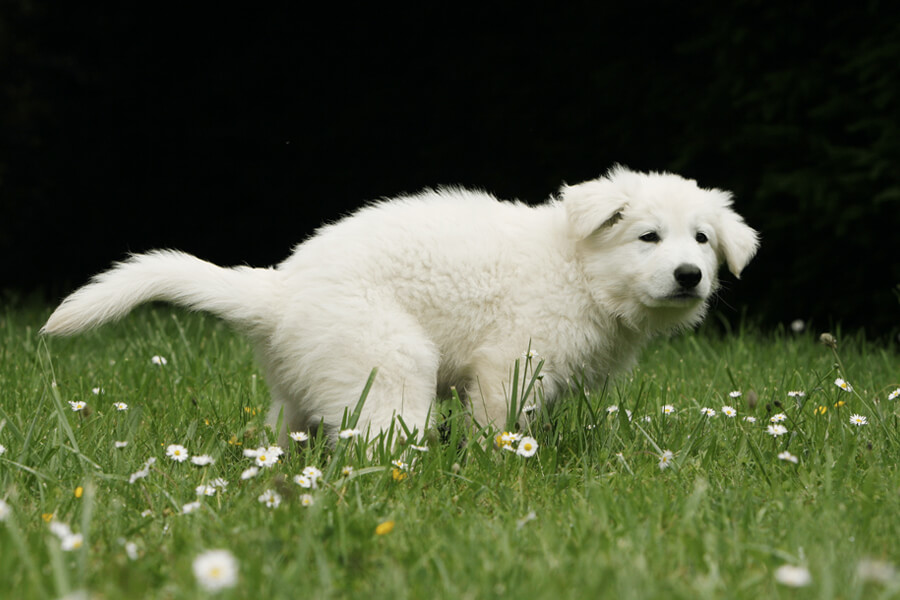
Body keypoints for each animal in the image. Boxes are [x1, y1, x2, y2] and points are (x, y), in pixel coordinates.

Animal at [42, 166, 760, 442]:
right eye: (648, 237)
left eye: (701, 238)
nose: (691, 275)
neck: (577, 270)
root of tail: (278, 289)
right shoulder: (510, 360)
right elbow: (499, 420)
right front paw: (499, 461)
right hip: (388, 358)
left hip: (302, 382)